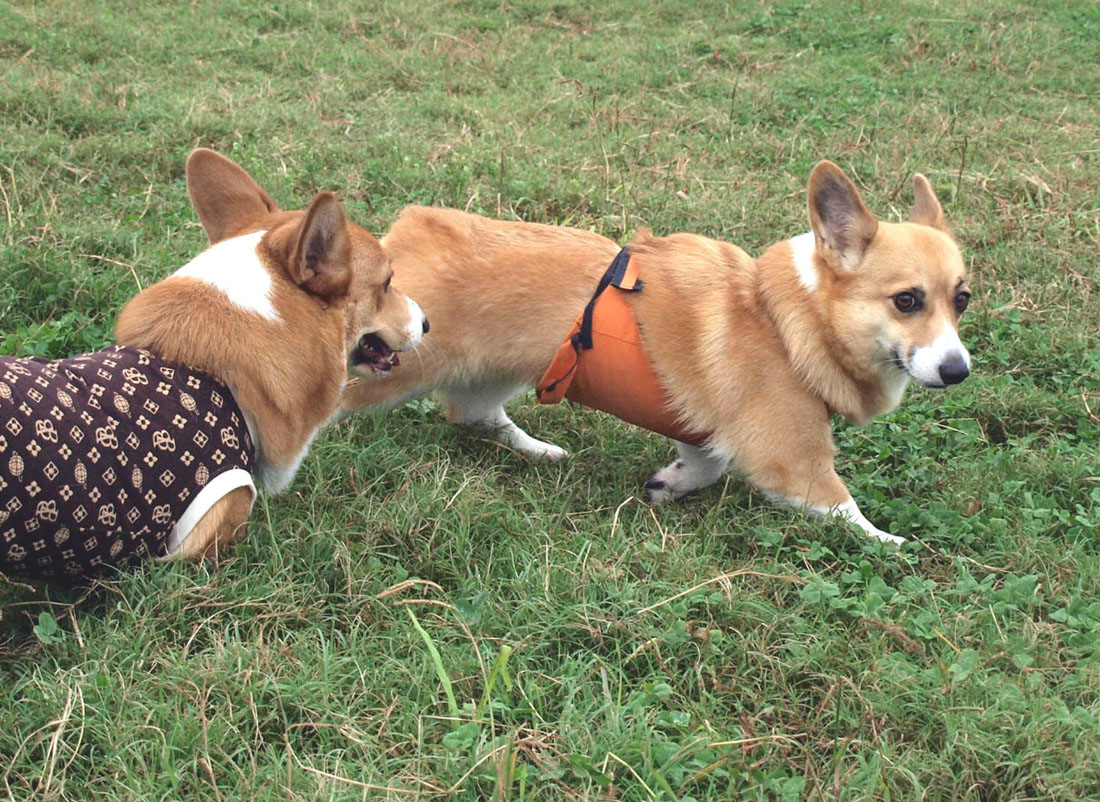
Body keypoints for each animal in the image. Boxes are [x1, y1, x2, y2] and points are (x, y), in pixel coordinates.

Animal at [341, 161, 971, 545]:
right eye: (907, 300)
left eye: (961, 299)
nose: (958, 370)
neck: (785, 318)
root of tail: (402, 238)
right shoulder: (791, 461)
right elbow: (848, 513)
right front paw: (893, 542)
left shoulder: (710, 432)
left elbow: (706, 463)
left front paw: (668, 485)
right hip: (386, 372)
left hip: (504, 371)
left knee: (474, 415)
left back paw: (540, 450)